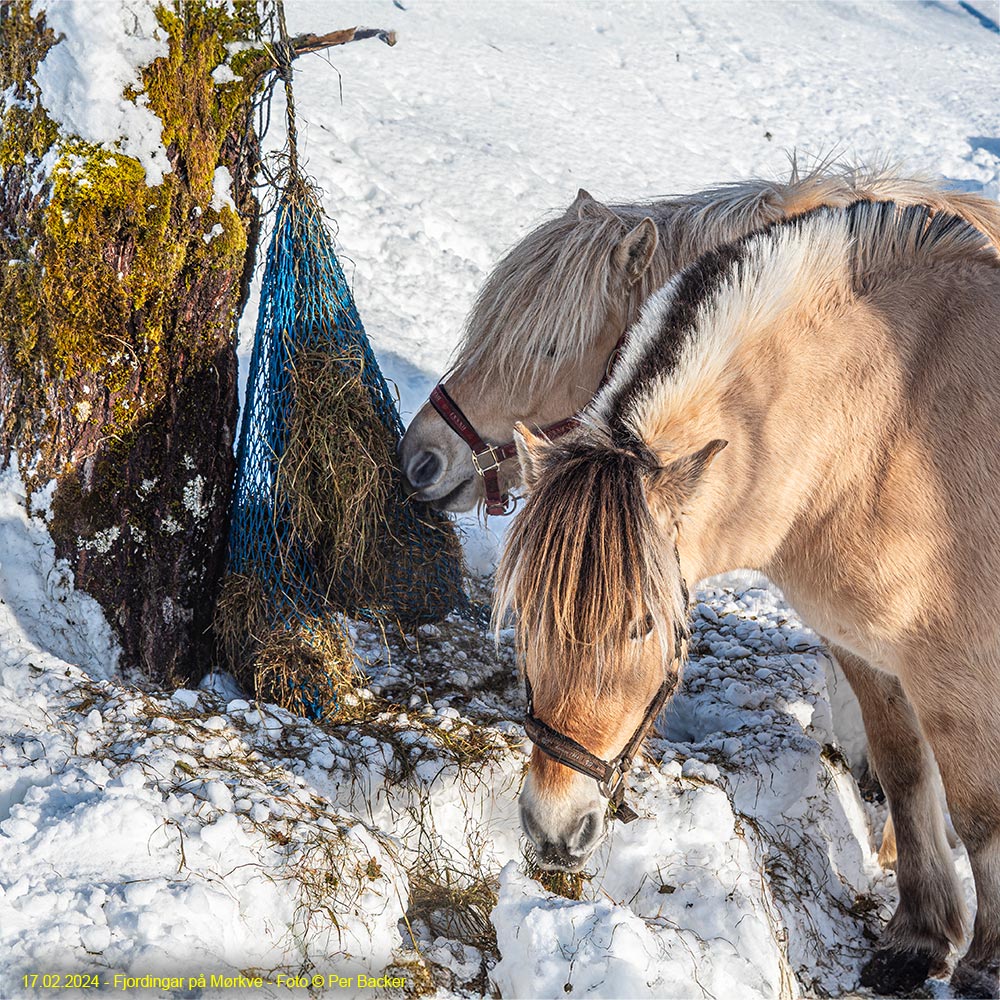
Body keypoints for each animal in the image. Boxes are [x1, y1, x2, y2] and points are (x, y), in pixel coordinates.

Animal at [496, 203, 1000, 1000]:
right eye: (527, 620)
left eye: (641, 625)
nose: (551, 829)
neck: (889, 421)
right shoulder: (866, 652)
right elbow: (904, 775)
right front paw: (918, 940)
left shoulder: (957, 670)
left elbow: (980, 815)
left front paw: (983, 964)